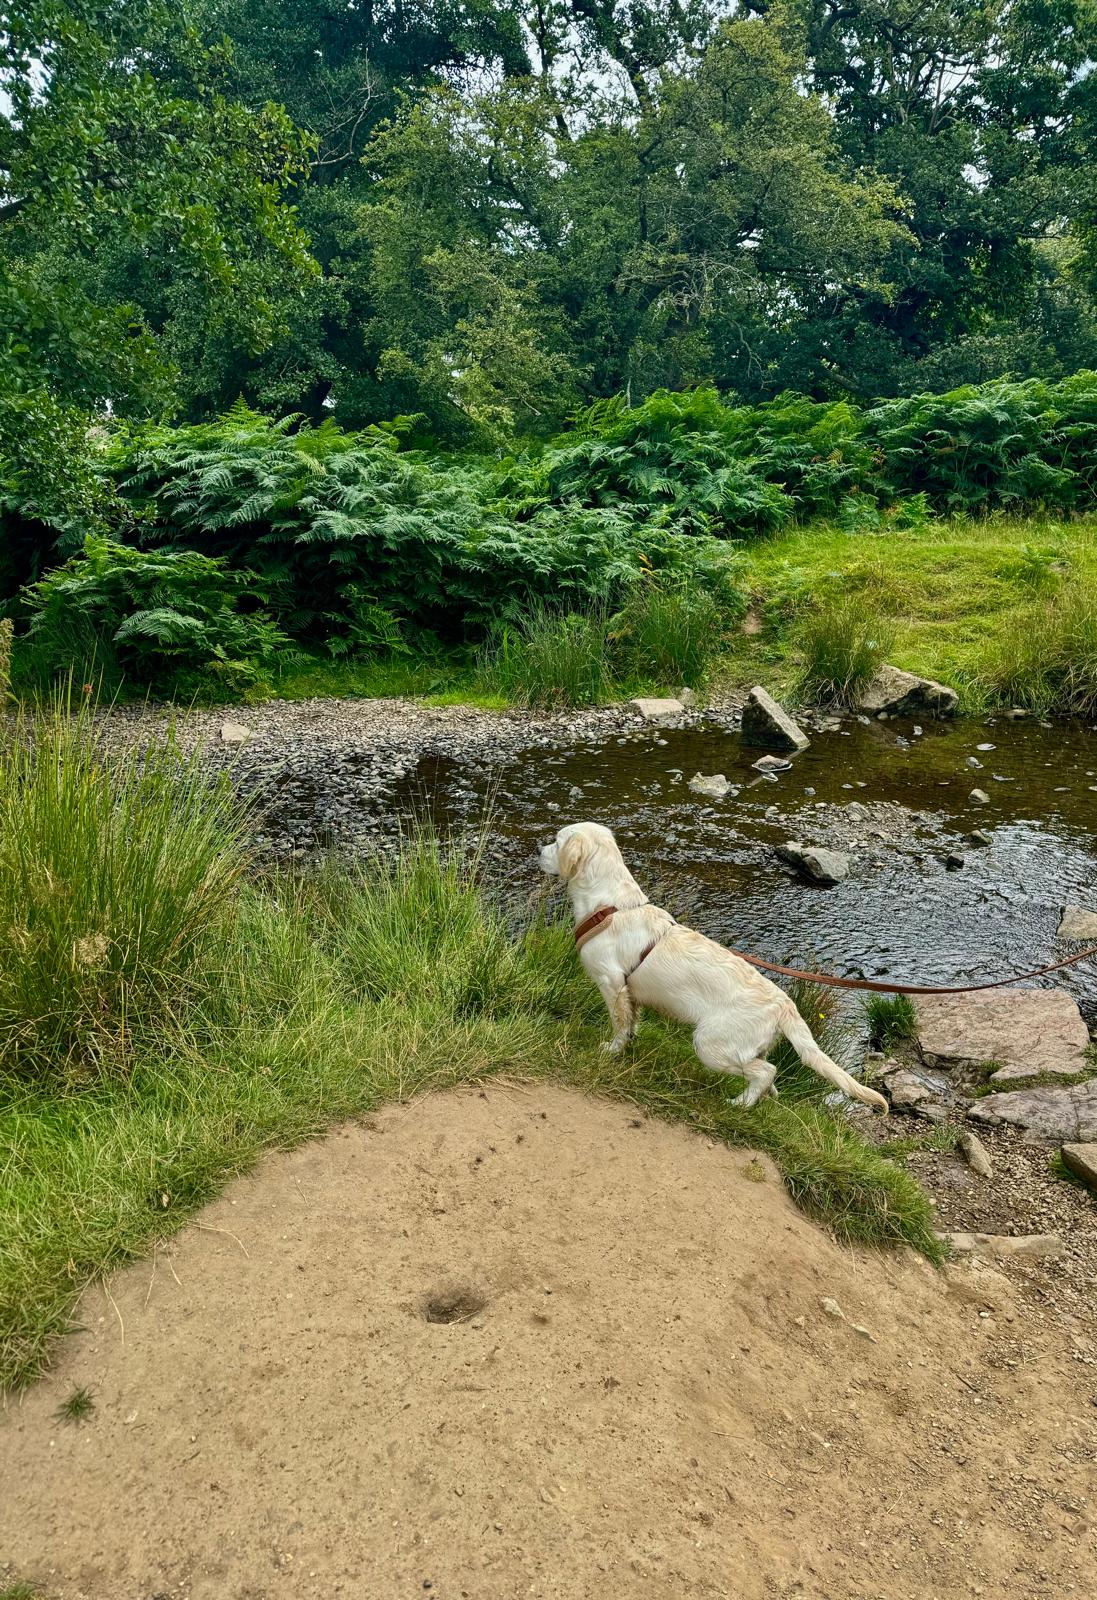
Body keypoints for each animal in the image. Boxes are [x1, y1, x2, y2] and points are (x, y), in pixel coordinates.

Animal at [540, 819, 895, 1107]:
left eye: (556, 841)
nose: (538, 849)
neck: (609, 905)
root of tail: (786, 1005)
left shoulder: (612, 984)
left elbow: (619, 1025)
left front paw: (611, 1051)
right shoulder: (629, 994)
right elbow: (631, 1024)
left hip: (711, 1044)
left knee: (765, 1072)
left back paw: (740, 1104)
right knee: (766, 1076)